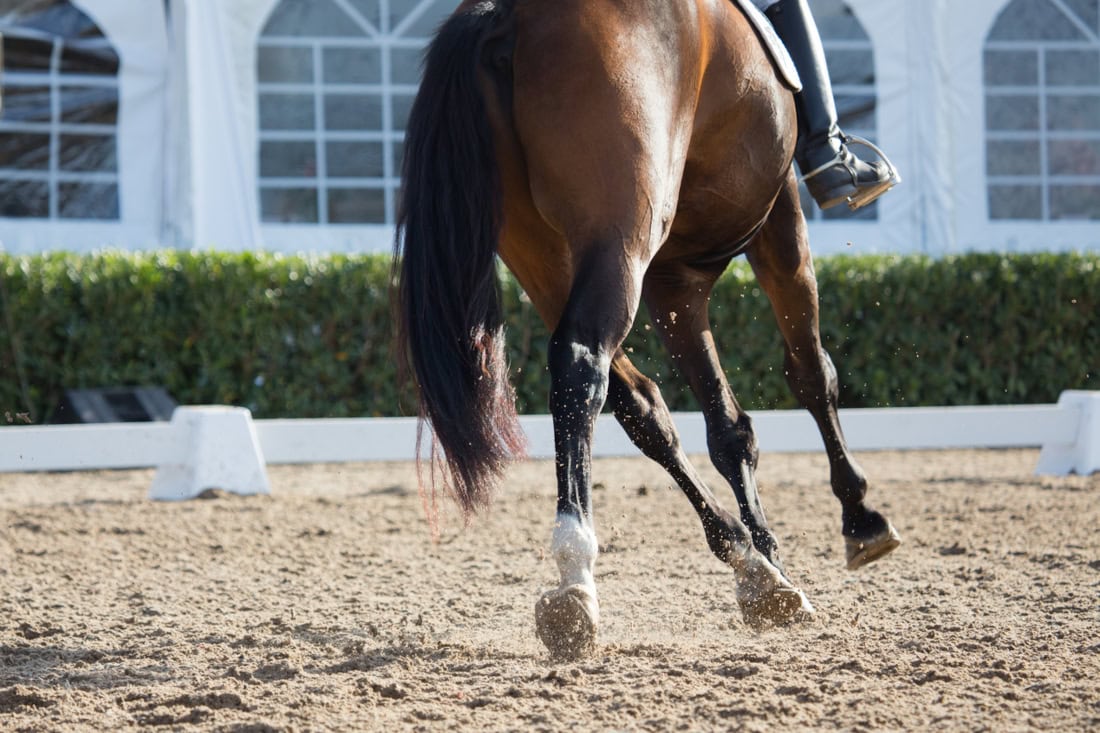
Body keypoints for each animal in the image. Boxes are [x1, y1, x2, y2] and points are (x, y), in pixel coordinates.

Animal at [394, 0, 900, 660]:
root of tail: (508, 15)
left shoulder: (673, 284)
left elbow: (725, 425)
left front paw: (769, 559)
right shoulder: (779, 217)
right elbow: (812, 374)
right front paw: (859, 518)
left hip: (542, 254)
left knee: (635, 402)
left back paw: (751, 568)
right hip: (622, 236)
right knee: (582, 361)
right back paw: (576, 577)